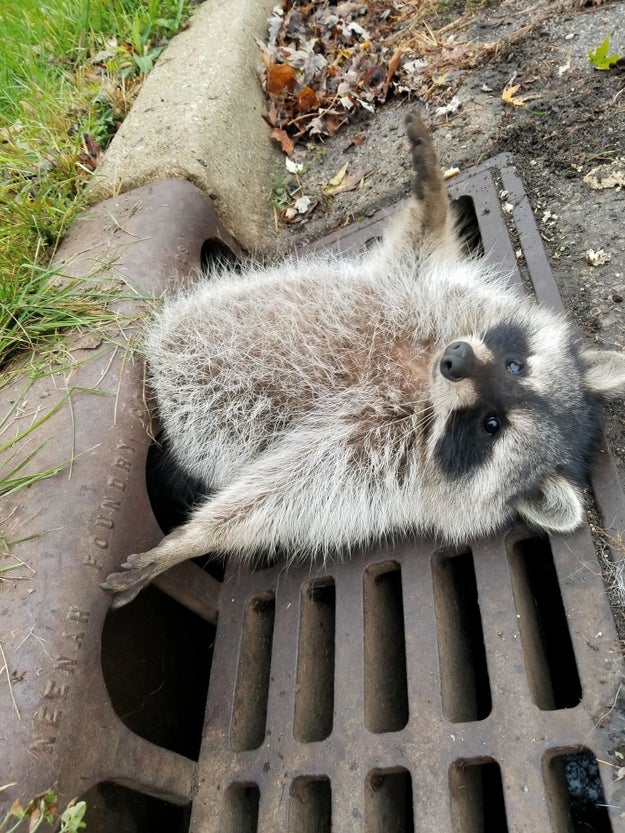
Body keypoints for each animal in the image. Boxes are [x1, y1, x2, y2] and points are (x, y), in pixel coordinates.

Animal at [102, 110, 624, 608]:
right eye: (516, 366)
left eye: (490, 425)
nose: (456, 359)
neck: (421, 376)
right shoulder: (423, 294)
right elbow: (418, 248)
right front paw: (431, 188)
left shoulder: (371, 464)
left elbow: (279, 495)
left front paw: (189, 540)